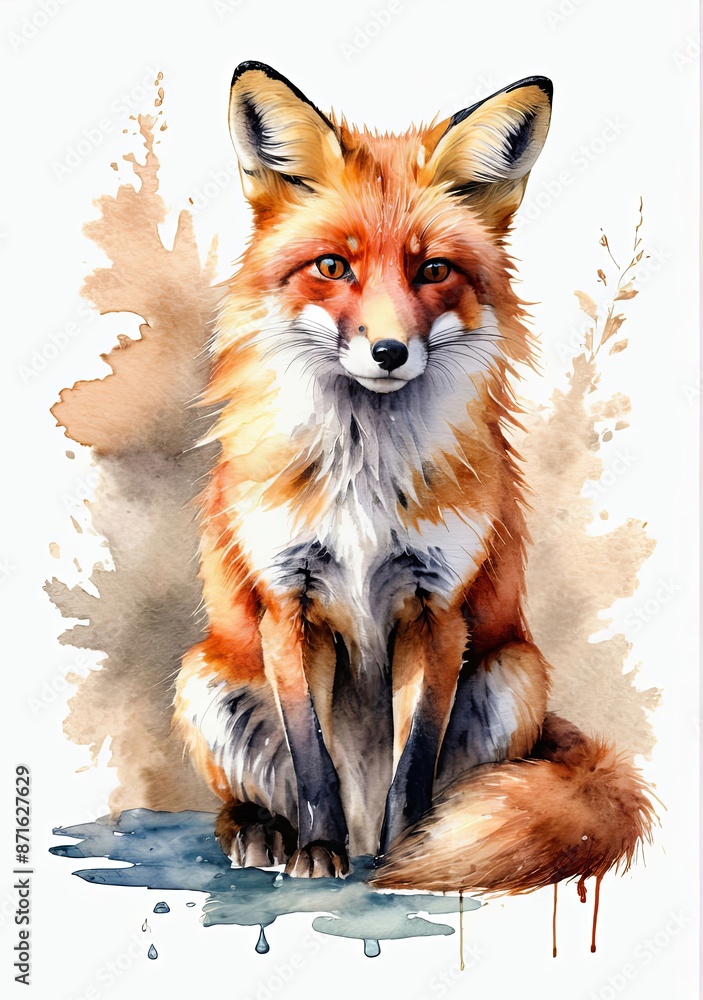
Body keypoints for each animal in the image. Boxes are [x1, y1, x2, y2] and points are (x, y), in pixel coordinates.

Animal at [174, 61, 654, 891]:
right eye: (332, 267)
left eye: (432, 270)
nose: (390, 352)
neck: (364, 476)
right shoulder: (287, 605)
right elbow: (312, 760)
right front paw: (318, 850)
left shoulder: (438, 611)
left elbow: (414, 762)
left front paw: (408, 855)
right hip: (207, 677)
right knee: (254, 790)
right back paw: (266, 829)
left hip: (512, 673)